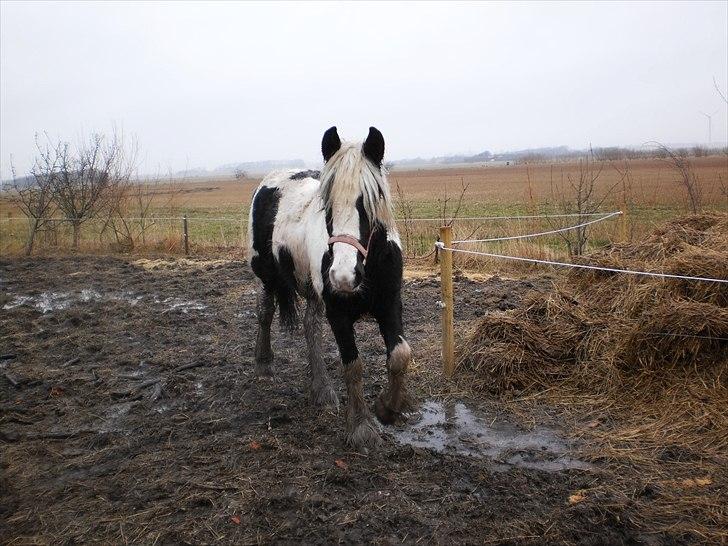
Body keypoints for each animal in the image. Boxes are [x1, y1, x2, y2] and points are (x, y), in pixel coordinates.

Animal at [247, 125, 412, 448]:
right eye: (327, 206)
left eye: (369, 203)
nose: (343, 277)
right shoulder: (338, 311)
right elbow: (353, 365)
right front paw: (361, 426)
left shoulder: (389, 303)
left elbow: (400, 355)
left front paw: (387, 408)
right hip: (266, 273)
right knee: (265, 311)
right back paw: (264, 363)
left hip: (311, 289)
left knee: (310, 326)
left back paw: (321, 389)